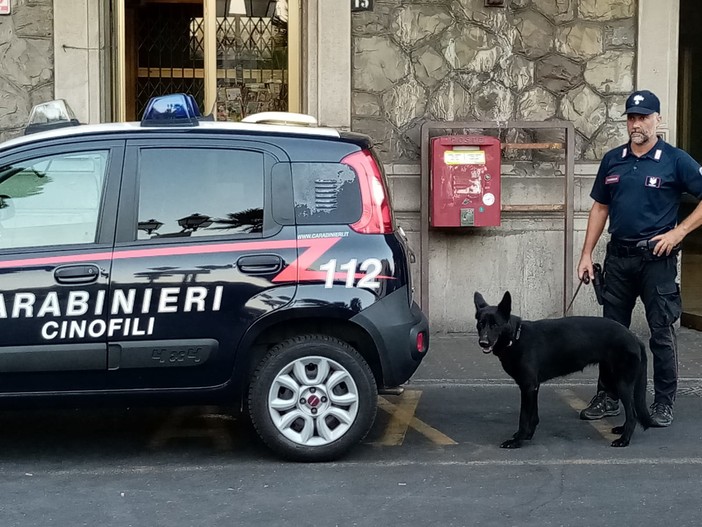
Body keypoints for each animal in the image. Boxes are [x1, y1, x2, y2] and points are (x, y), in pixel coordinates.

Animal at [472, 290, 656, 448]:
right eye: (481, 324)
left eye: (495, 325)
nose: (483, 343)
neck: (516, 336)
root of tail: (634, 337)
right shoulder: (533, 387)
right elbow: (533, 416)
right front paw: (527, 435)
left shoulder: (528, 387)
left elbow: (524, 417)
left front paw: (518, 440)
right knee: (631, 411)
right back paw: (622, 430)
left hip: (622, 383)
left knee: (632, 414)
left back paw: (624, 439)